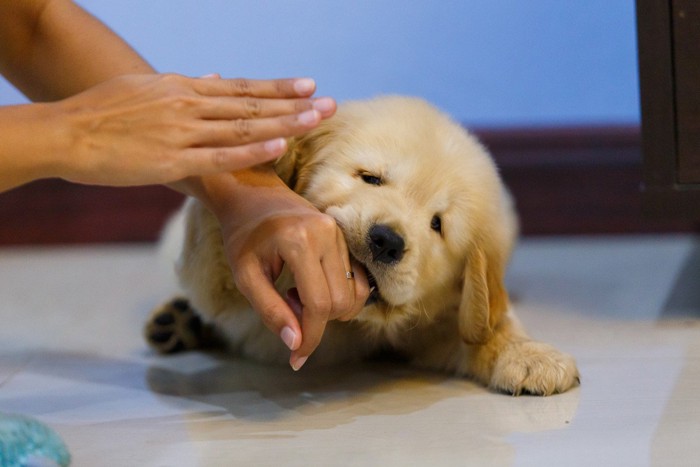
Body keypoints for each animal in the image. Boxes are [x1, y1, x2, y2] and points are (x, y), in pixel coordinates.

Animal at [148, 97, 580, 396]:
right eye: (371, 178)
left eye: (437, 225)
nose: (386, 241)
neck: (349, 323)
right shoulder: (225, 288)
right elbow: (218, 241)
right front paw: (267, 146)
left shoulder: (442, 318)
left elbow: (487, 325)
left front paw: (532, 355)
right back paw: (177, 319)